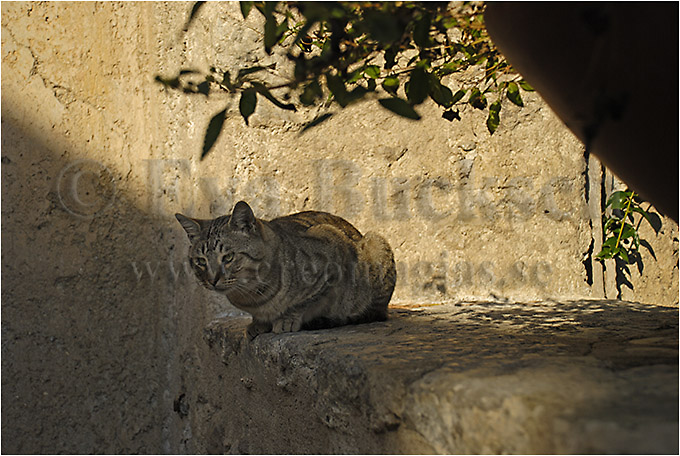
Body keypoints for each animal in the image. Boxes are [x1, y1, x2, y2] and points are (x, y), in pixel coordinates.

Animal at [177, 200, 398, 338]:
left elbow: (303, 302)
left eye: (228, 257)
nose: (212, 280)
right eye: (200, 261)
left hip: (375, 244)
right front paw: (258, 323)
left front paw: (286, 319)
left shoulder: (331, 254)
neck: (252, 295)